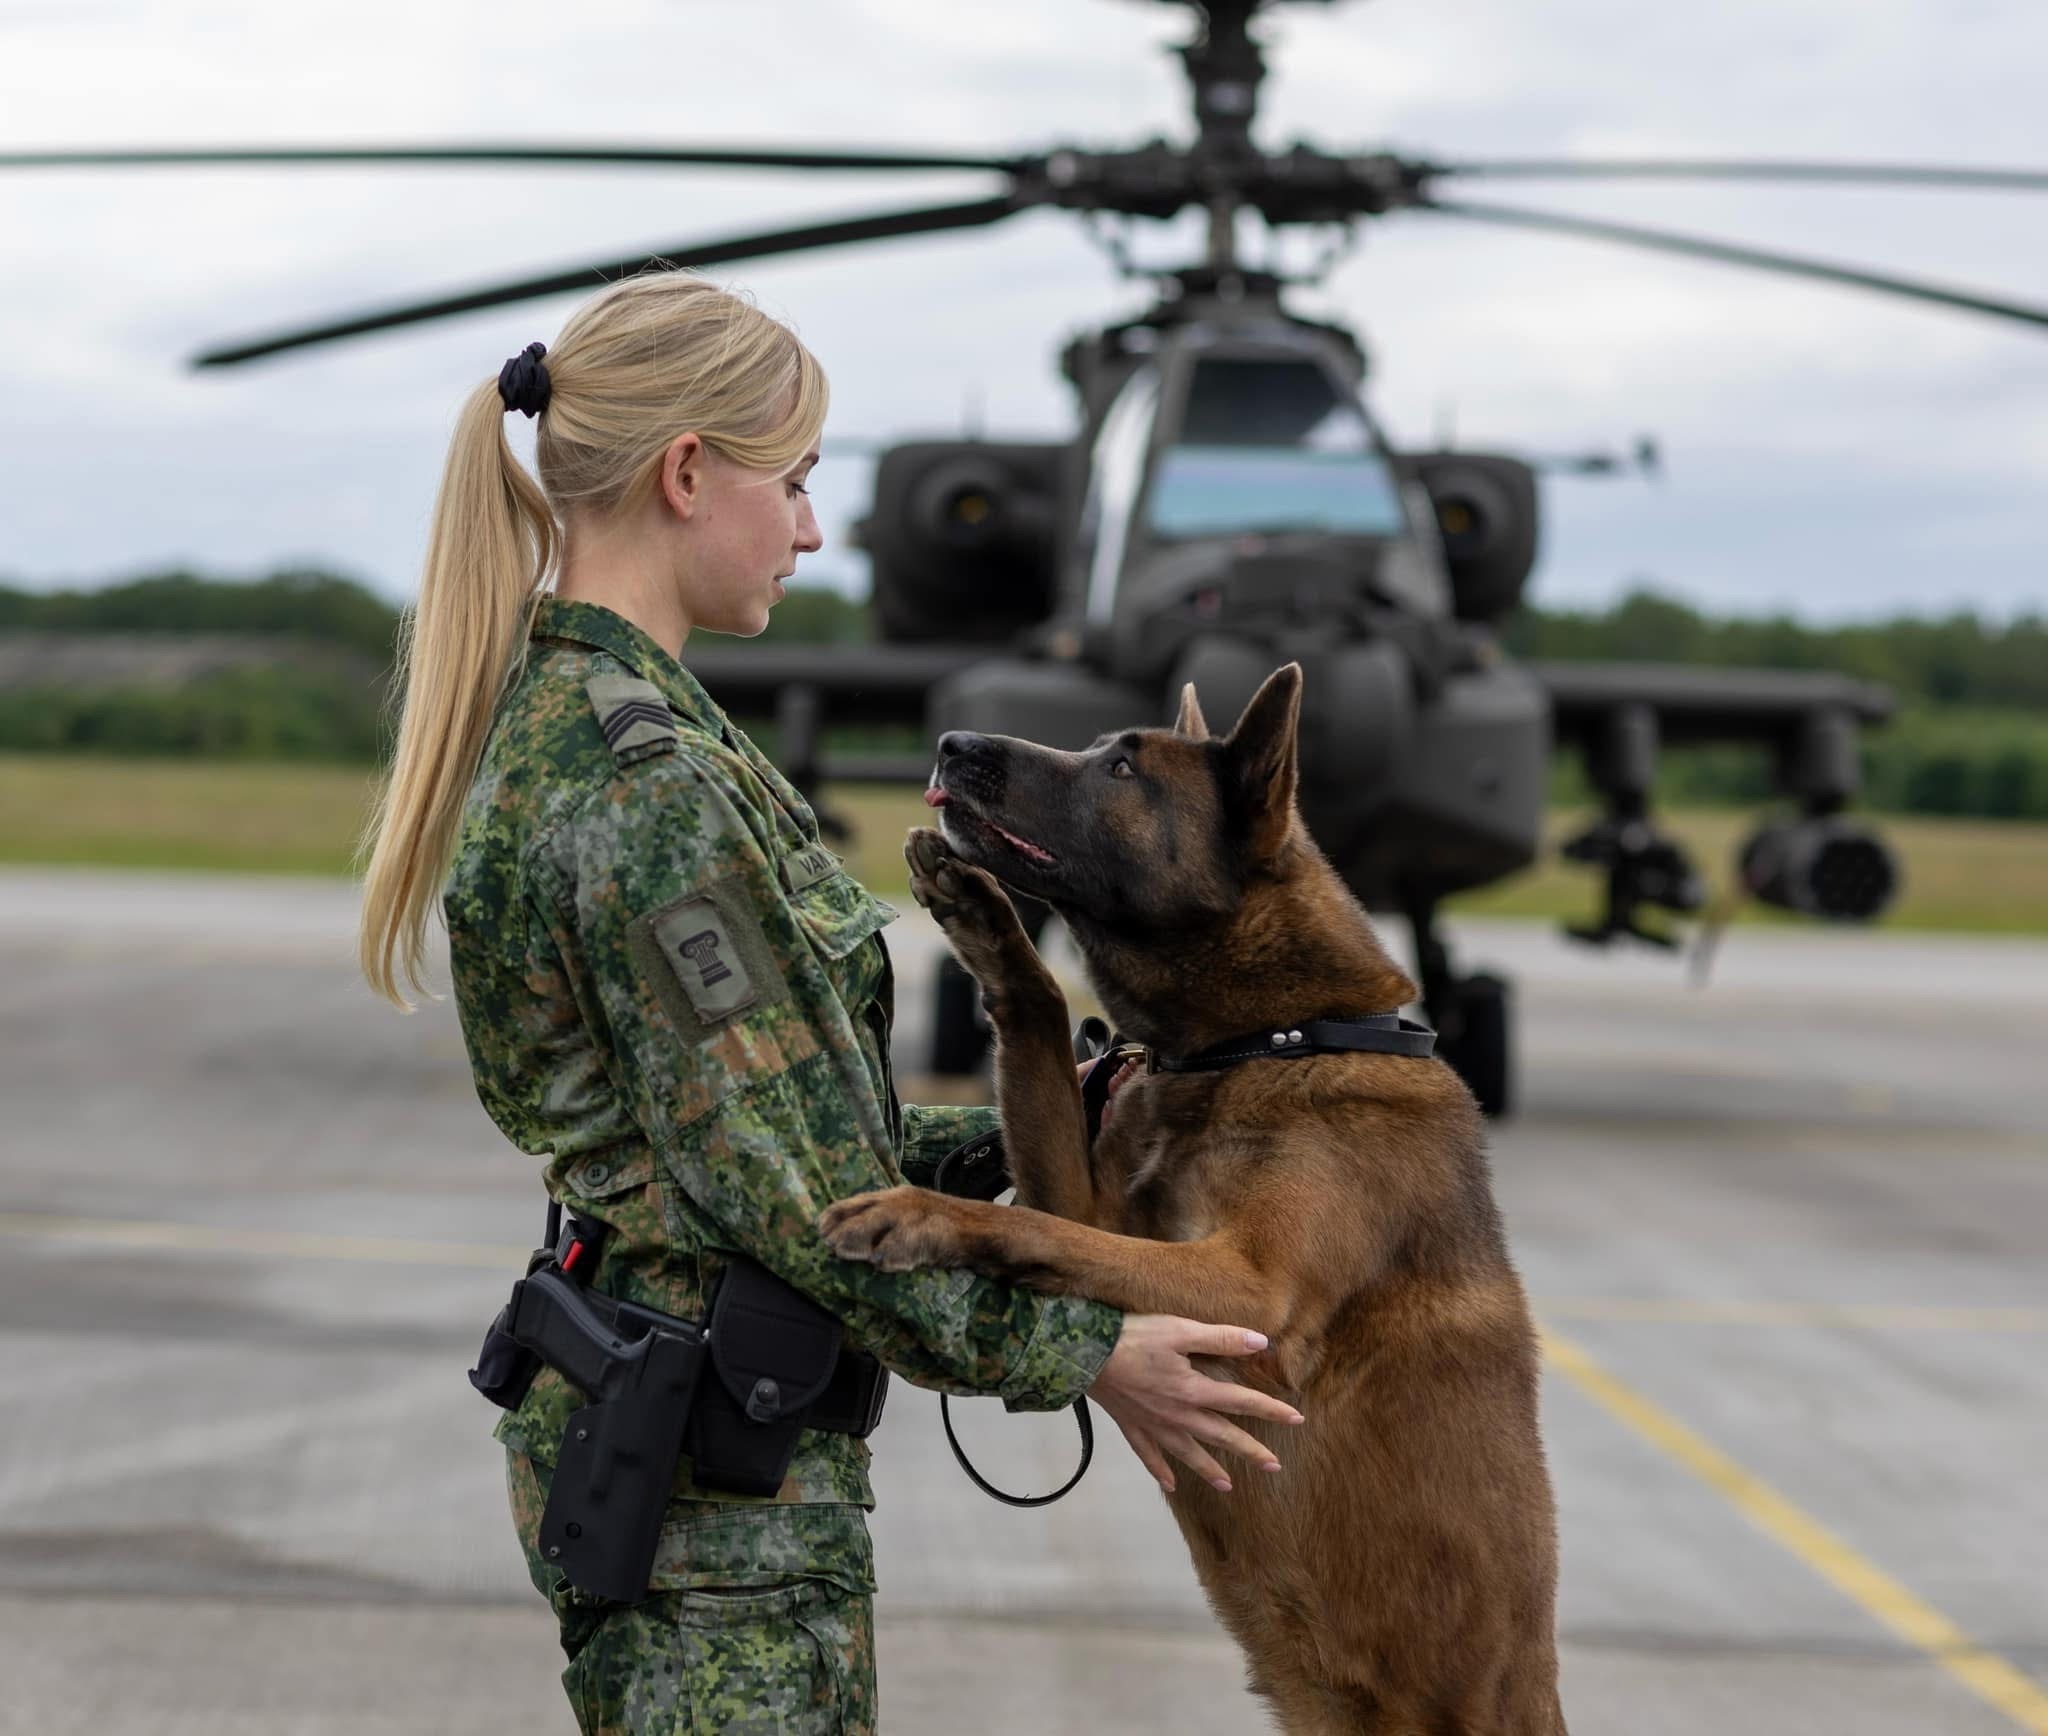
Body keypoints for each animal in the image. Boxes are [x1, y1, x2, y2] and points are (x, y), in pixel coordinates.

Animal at [819, 667, 1564, 1736]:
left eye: (1125, 769)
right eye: (1097, 745)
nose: (954, 743)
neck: (1269, 1040)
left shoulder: (1250, 1290)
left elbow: (1020, 1220)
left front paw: (921, 1217)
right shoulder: (1085, 1199)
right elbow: (1041, 1028)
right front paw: (982, 917)